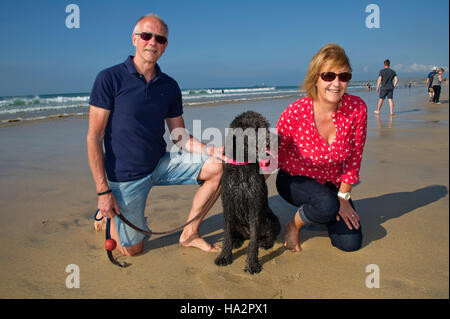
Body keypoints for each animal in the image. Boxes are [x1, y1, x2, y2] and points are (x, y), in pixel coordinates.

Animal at [215, 111, 282, 274]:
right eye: (256, 128)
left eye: (266, 125)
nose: (277, 139)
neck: (242, 167)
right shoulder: (228, 205)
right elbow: (227, 234)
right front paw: (224, 257)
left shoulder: (254, 207)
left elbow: (253, 241)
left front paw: (252, 264)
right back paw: (236, 242)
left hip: (271, 219)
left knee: (267, 235)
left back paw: (266, 243)